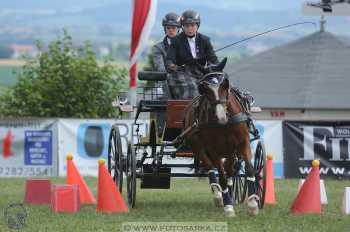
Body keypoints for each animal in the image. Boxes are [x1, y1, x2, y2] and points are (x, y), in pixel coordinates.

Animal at [183, 67, 260, 218]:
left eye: (225, 87)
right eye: (206, 90)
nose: (221, 118)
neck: (225, 124)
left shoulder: (243, 143)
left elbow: (249, 169)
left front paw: (253, 205)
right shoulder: (213, 149)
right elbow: (222, 176)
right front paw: (228, 207)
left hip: (230, 150)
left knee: (230, 168)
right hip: (198, 147)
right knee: (211, 168)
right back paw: (219, 195)